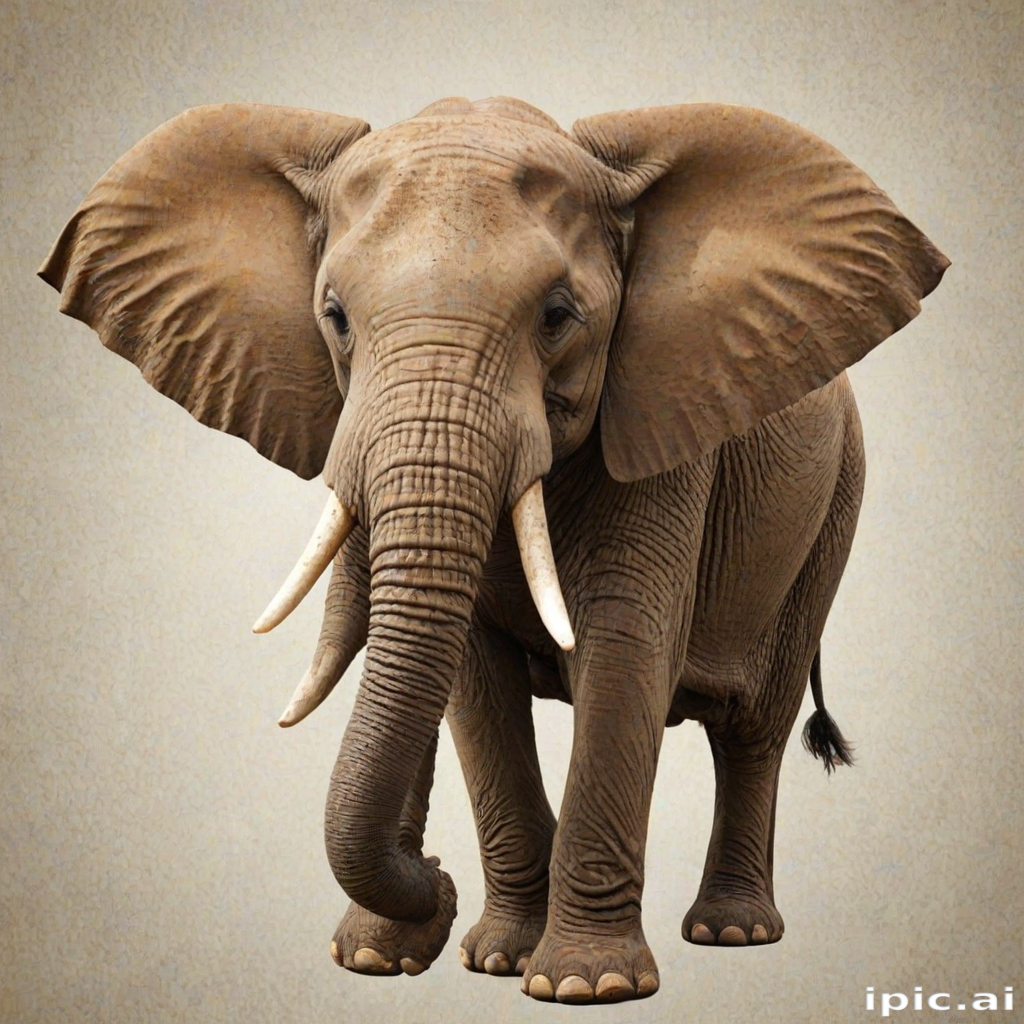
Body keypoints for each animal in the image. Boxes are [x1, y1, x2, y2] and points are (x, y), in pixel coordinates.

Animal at [39, 95, 948, 1005]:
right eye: (335, 318)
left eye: (557, 317)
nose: (436, 881)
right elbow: (476, 683)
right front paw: (474, 959)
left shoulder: (663, 423)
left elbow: (623, 649)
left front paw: (585, 986)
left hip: (833, 509)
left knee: (756, 730)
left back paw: (733, 933)